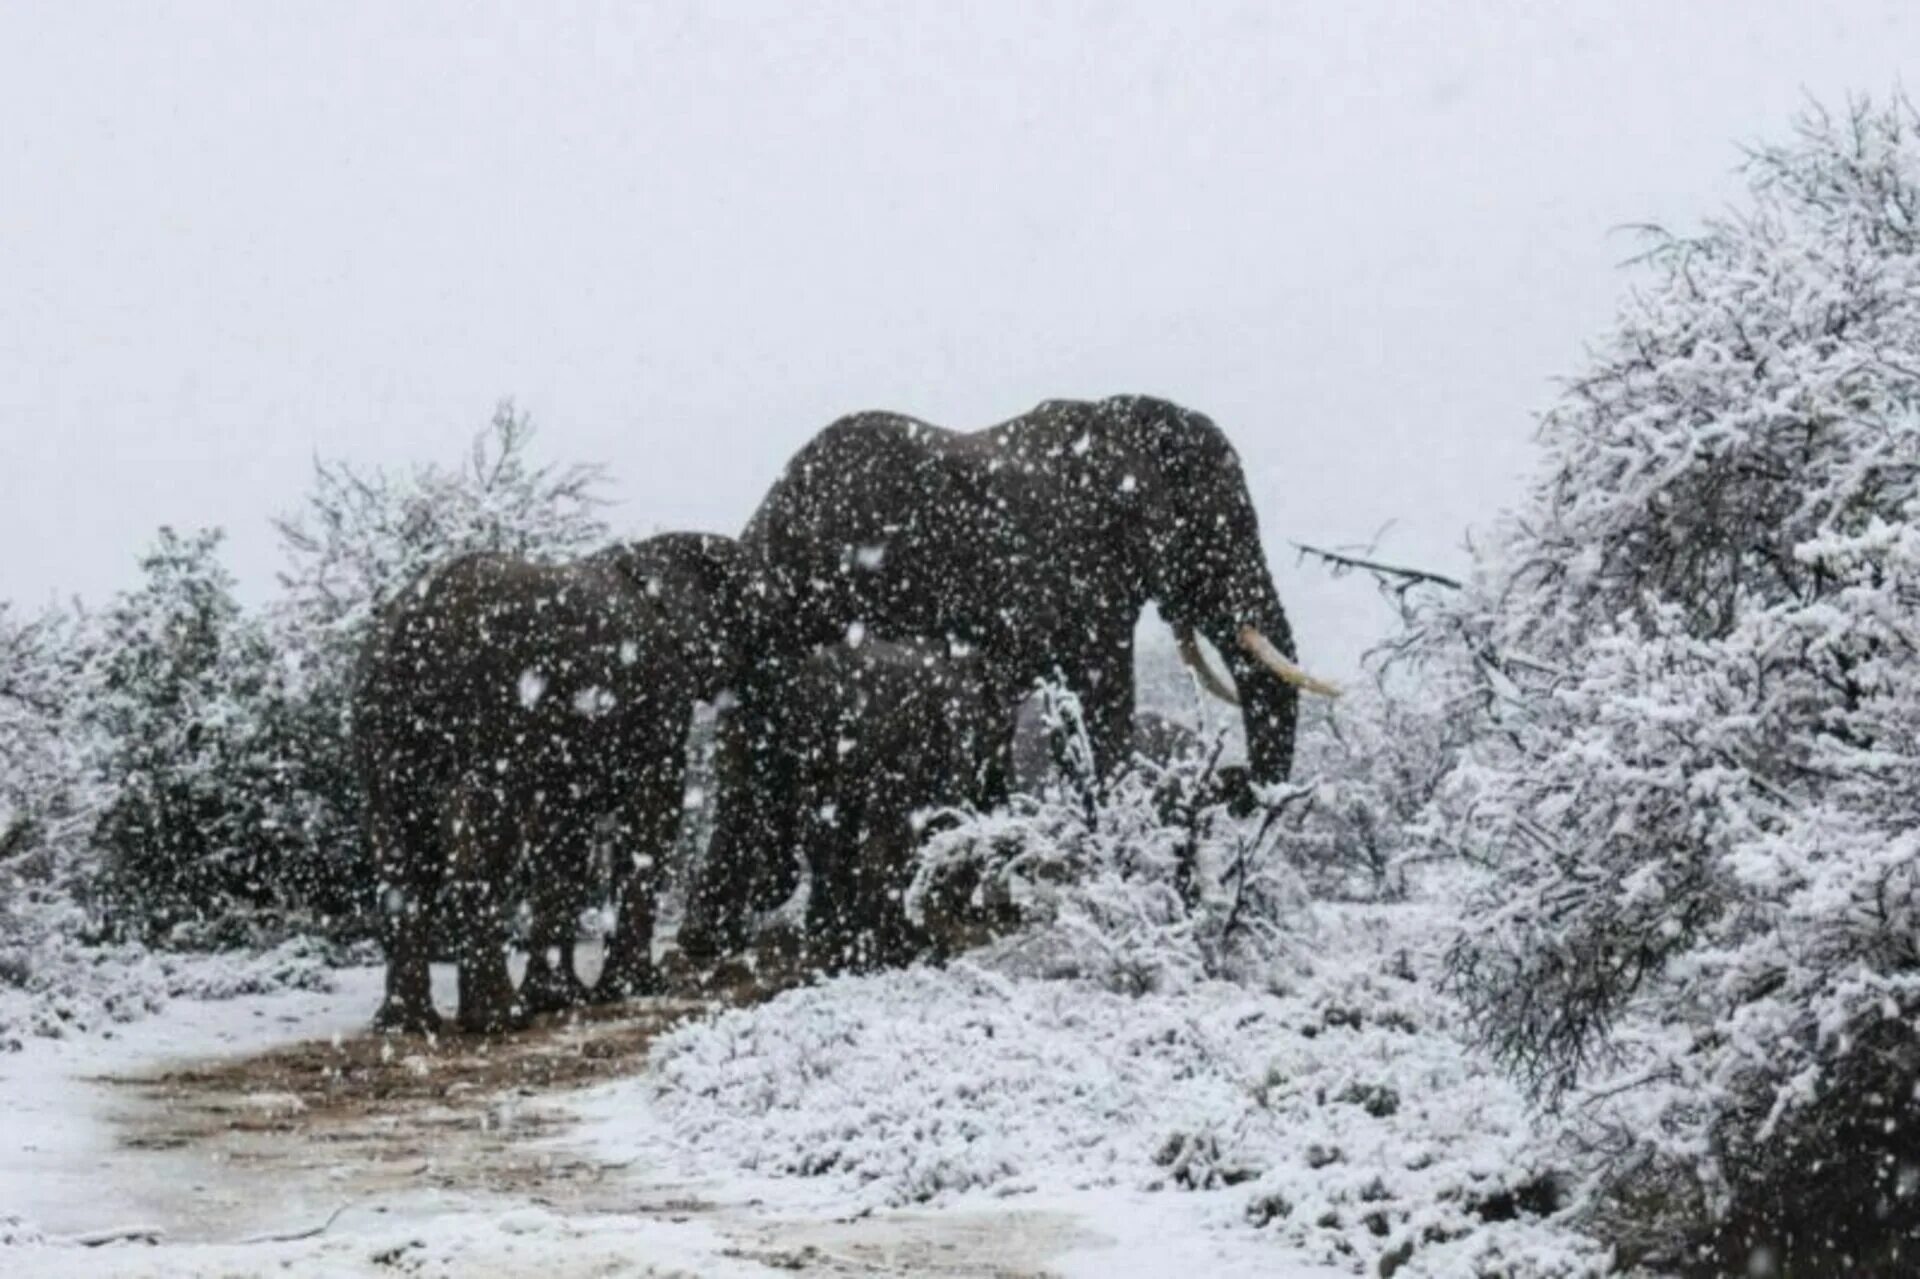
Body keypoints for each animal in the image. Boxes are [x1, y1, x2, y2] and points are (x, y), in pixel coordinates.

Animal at [357, 530, 744, 1037]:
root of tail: (409, 626)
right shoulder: (658, 707)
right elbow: (651, 818)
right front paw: (637, 988)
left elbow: (561, 836)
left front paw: (559, 999)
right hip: (493, 720)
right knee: (479, 847)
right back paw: (499, 1021)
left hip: (384, 735)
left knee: (401, 858)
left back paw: (405, 1026)